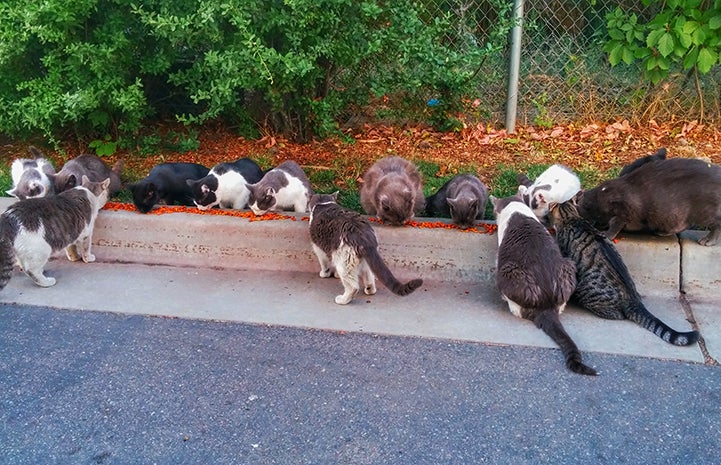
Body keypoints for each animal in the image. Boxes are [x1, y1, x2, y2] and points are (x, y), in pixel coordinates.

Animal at [576, 156, 721, 245]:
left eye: (587, 206)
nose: (579, 195)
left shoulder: (625, 213)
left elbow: (614, 225)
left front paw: (604, 234)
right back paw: (661, 232)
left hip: (706, 214)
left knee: (716, 225)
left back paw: (706, 241)